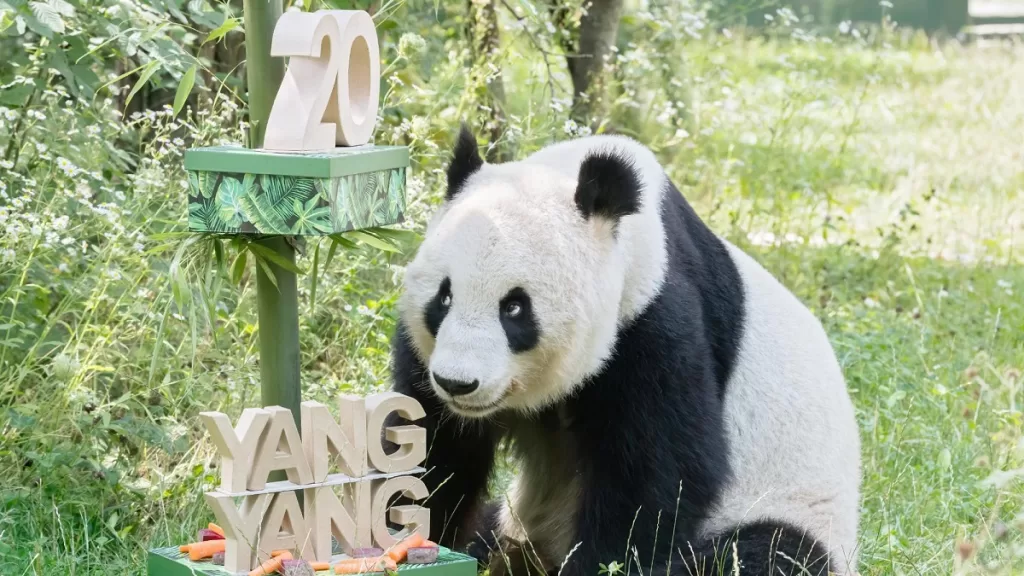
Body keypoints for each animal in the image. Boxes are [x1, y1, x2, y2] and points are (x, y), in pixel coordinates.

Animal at [384, 126, 862, 576]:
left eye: (514, 307)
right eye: (444, 297)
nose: (456, 383)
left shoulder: (650, 322)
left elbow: (657, 477)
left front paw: (596, 563)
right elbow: (435, 446)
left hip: (795, 509)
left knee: (768, 553)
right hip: (515, 516)